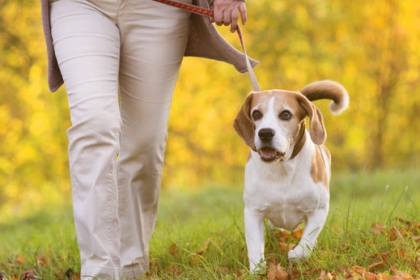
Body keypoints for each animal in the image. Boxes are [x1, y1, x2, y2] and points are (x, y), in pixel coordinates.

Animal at [233, 79, 348, 272]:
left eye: (285, 114)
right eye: (256, 114)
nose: (265, 133)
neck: (282, 167)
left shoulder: (318, 210)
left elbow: (306, 243)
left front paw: (295, 255)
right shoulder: (253, 212)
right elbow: (255, 247)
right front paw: (257, 270)